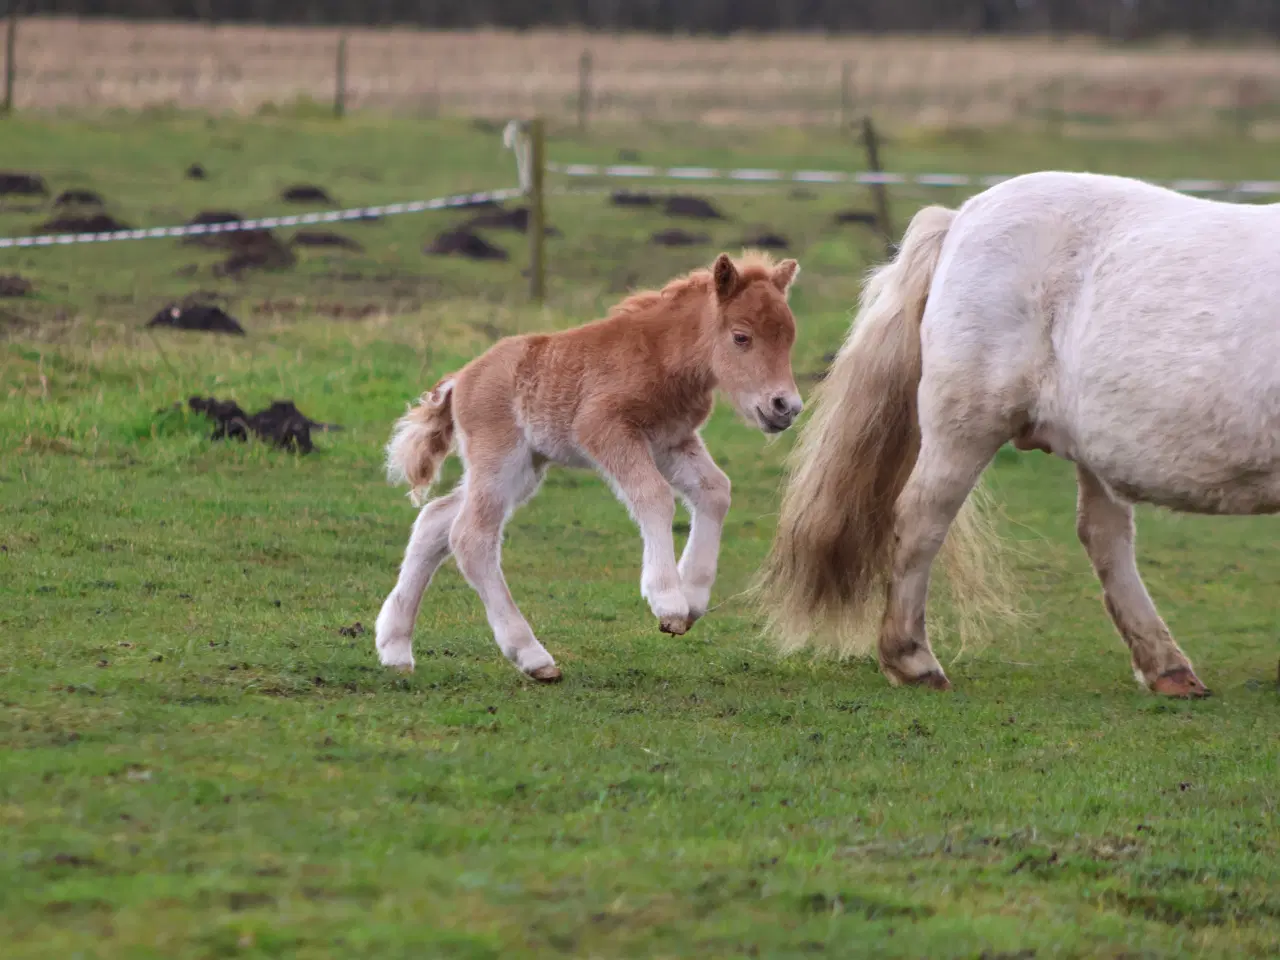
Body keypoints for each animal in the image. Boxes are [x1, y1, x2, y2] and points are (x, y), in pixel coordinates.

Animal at [757, 172, 1280, 701]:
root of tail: (962, 217)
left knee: (1104, 538)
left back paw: (1166, 667)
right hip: (965, 428)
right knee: (921, 519)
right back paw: (912, 659)